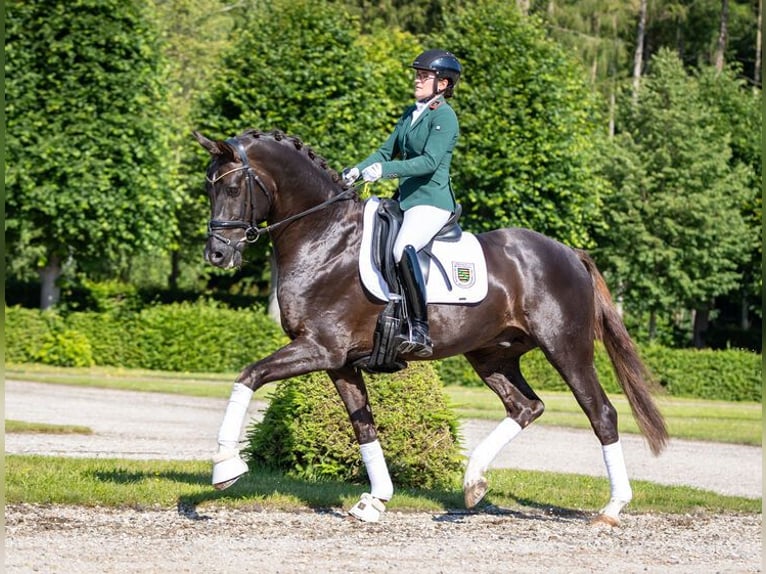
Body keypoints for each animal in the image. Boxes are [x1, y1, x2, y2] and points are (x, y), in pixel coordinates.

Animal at [193, 128, 668, 526]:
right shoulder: (338, 361)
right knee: (525, 407)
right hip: (492, 355)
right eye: (207, 187)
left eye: (232, 188)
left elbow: (249, 375)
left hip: (565, 349)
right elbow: (364, 426)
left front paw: (225, 467)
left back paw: (611, 508)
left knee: (601, 413)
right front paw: (376, 500)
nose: (217, 254)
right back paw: (473, 483)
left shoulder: (320, 348)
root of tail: (569, 253)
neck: (324, 238)